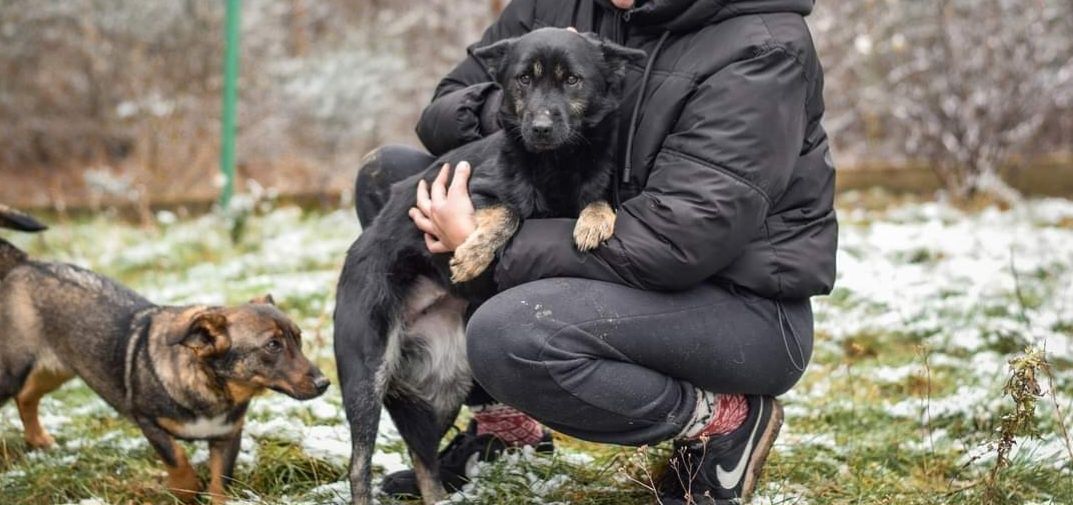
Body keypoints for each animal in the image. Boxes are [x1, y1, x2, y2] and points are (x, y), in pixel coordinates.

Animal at [0, 206, 328, 505]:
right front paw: (185, 491)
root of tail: (26, 264)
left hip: (58, 368)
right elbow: (178, 459)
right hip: (14, 368)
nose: (324, 383)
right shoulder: (148, 421)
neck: (212, 387)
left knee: (27, 396)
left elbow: (221, 483)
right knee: (19, 392)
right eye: (272, 345)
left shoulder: (228, 436)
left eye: (299, 339)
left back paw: (38, 440)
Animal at [334, 28, 639, 505]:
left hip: (444, 385)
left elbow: (598, 200)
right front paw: (473, 253)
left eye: (572, 80)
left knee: (423, 458)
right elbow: (508, 212)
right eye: (523, 79)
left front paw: (593, 223)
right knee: (358, 463)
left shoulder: (591, 183)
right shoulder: (473, 192)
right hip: (367, 370)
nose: (540, 128)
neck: (555, 162)